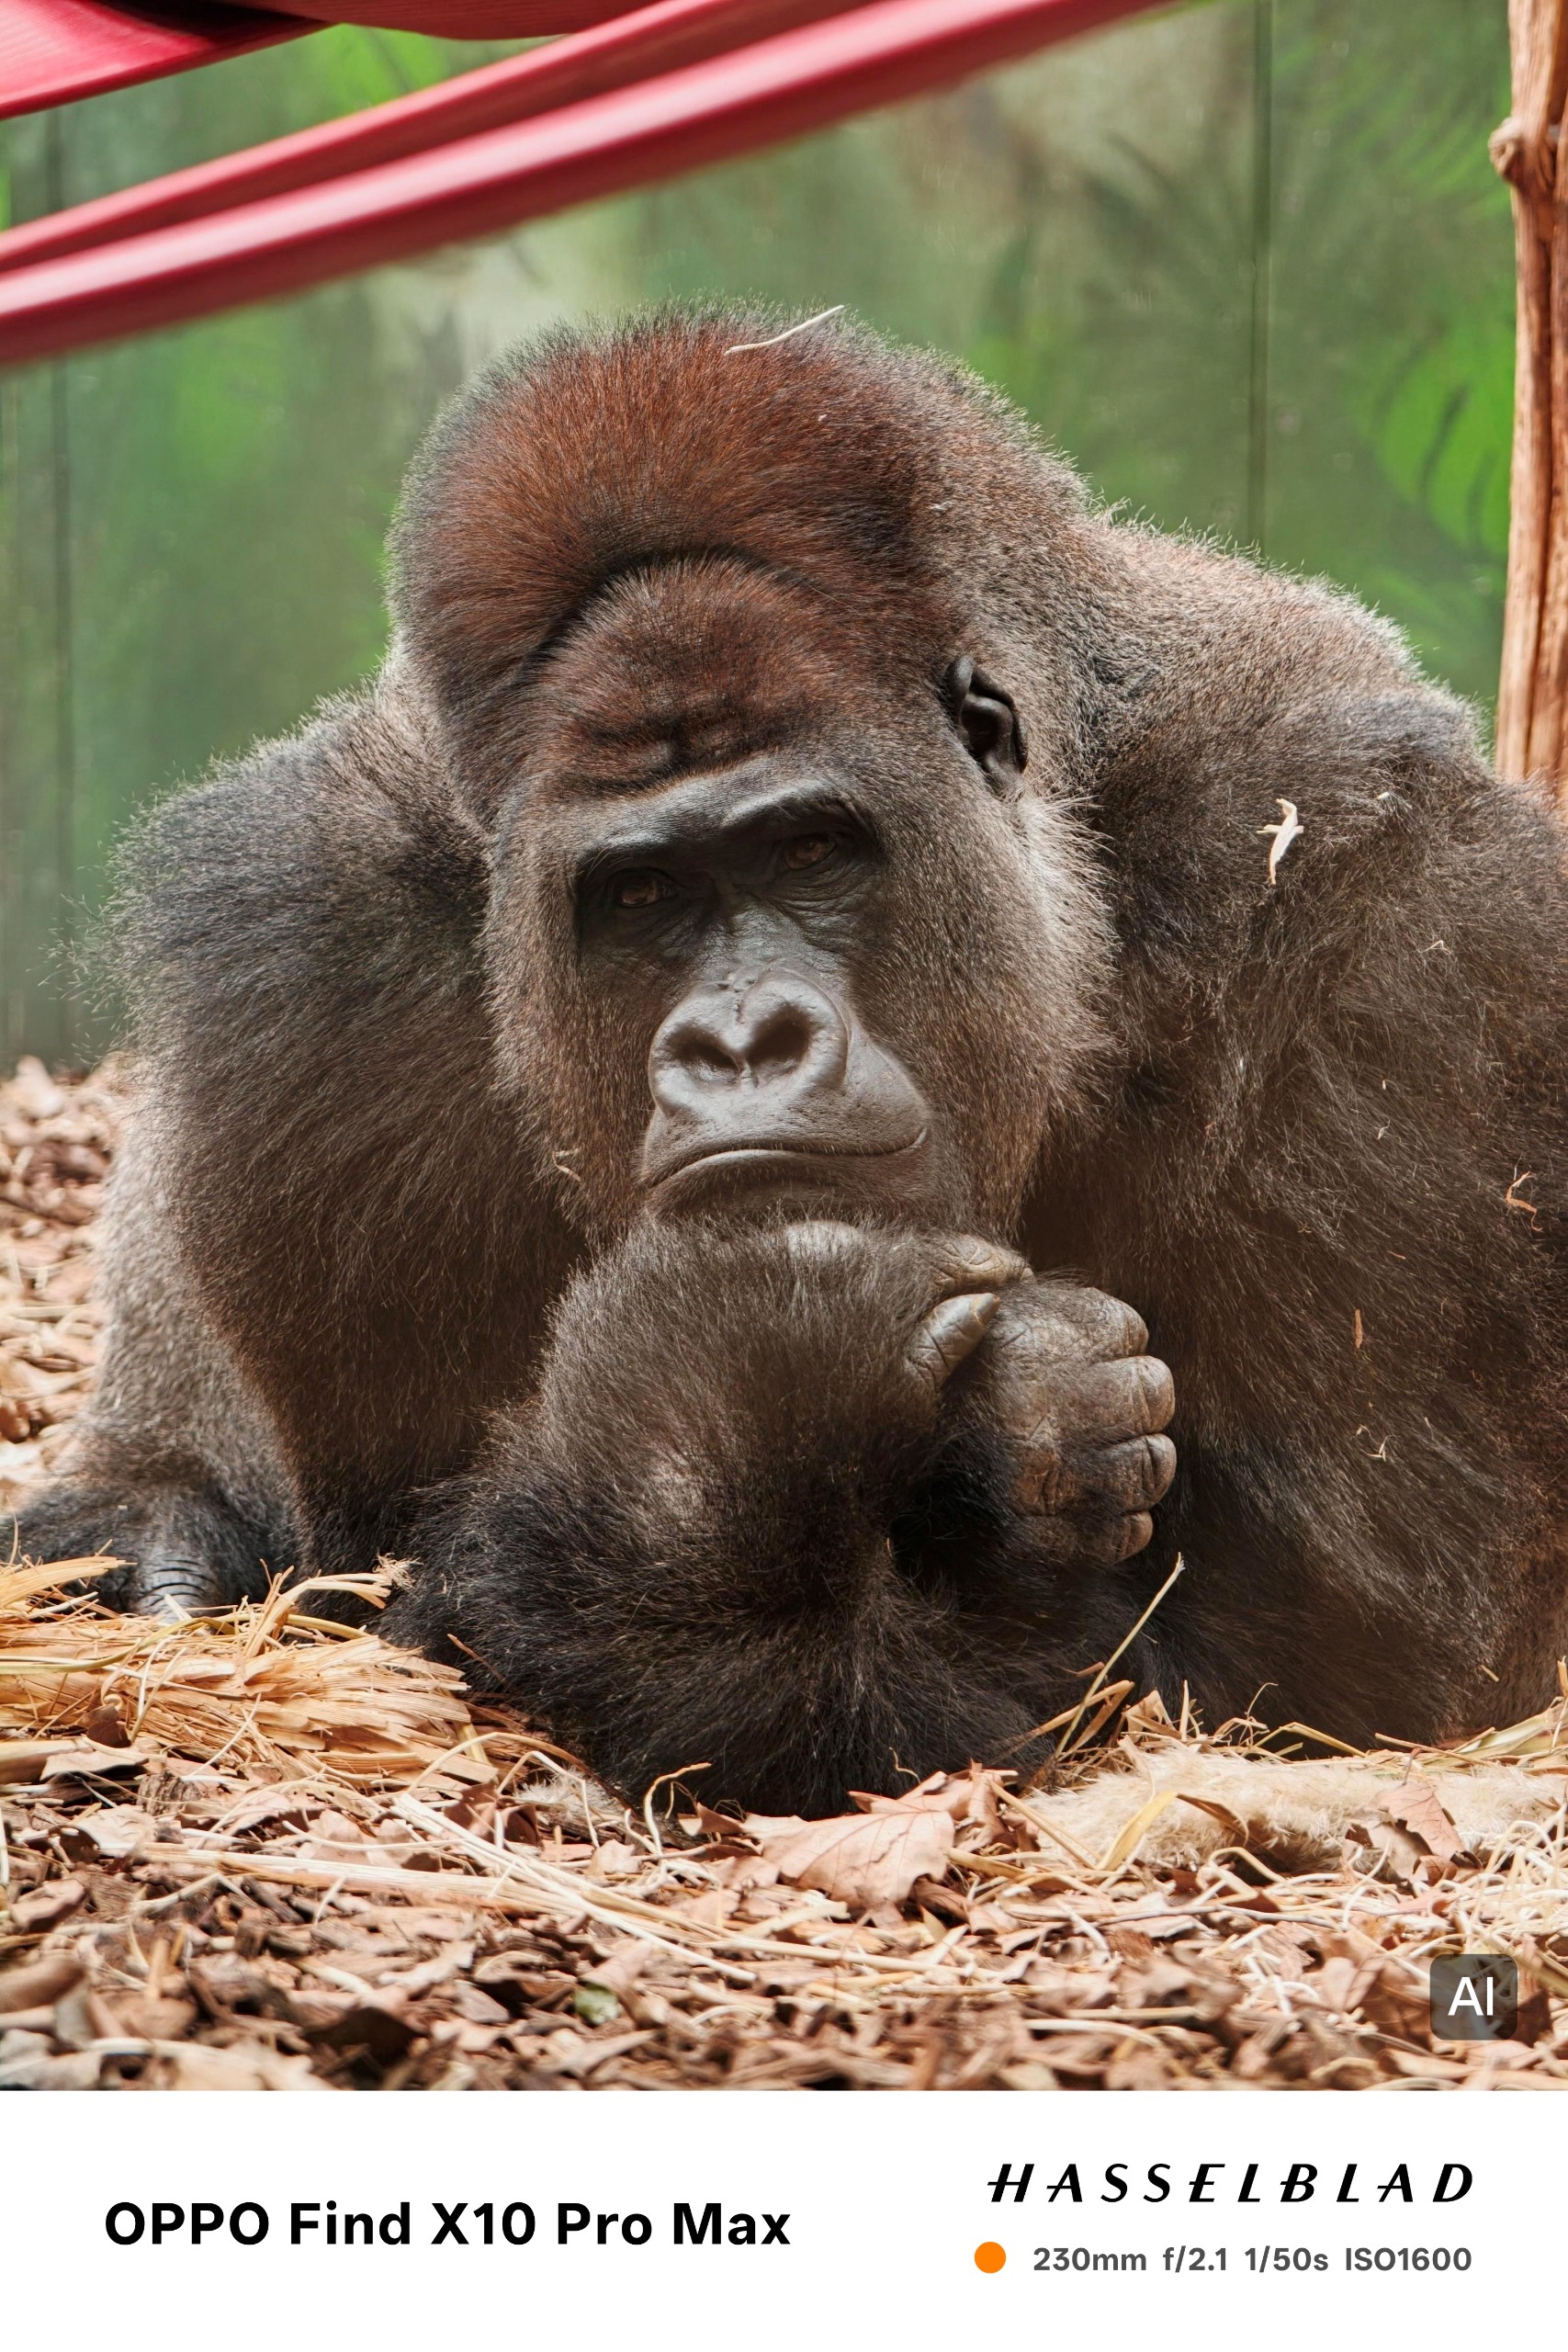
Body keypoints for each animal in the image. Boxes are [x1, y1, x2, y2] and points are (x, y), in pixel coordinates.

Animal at [10, 307, 1568, 1814]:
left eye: (812, 850)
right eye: (639, 895)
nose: (742, 1040)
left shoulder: (1370, 902)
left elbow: (1327, 1649)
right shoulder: (312, 973)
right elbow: (398, 1567)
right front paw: (756, 1423)